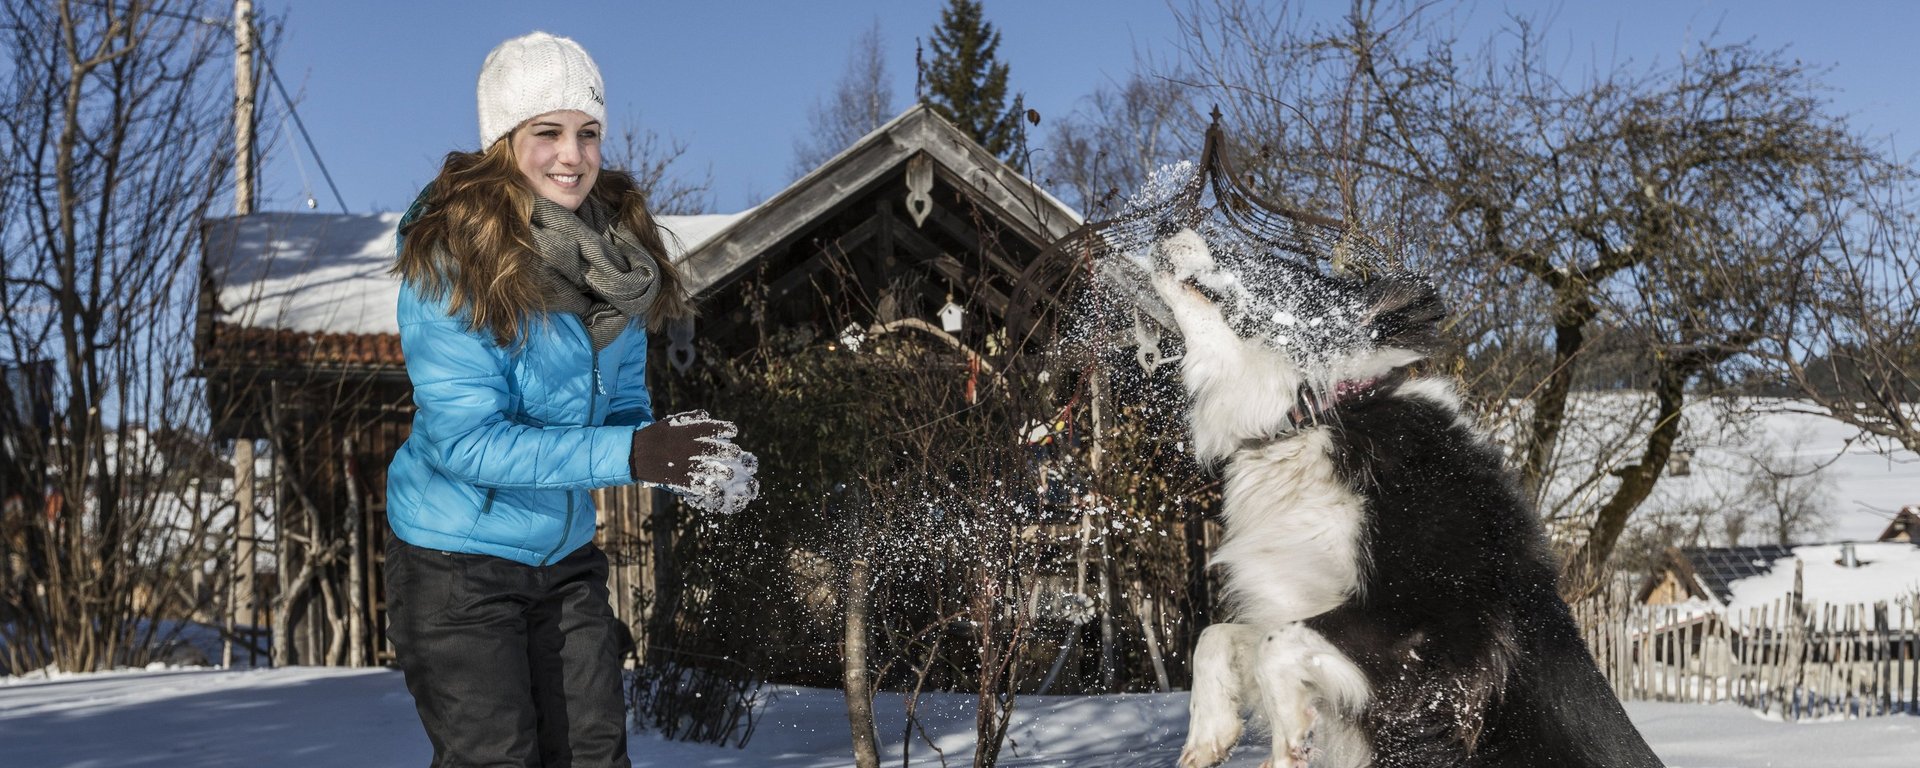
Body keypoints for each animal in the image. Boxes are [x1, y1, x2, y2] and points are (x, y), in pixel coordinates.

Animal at [1121, 231, 1666, 764]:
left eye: (1267, 260)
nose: (1167, 230)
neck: (1314, 414)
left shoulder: (1444, 631)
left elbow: (1275, 644)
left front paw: (1288, 742)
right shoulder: (1291, 591)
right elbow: (1216, 637)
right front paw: (1208, 738)